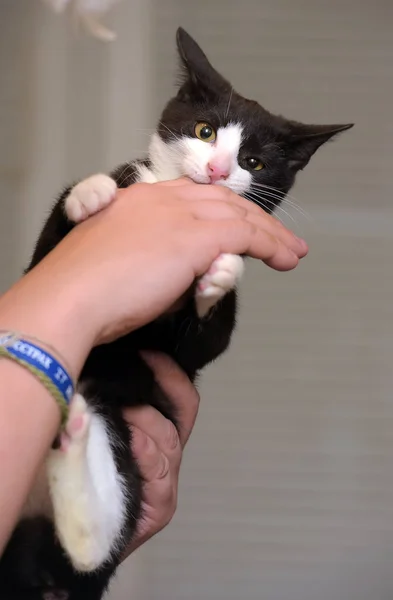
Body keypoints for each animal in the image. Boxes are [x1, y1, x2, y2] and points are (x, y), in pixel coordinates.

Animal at [0, 28, 350, 600]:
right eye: (205, 131)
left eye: (253, 162)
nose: (217, 169)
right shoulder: (45, 255)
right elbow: (57, 235)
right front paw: (91, 193)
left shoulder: (188, 350)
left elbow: (206, 339)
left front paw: (219, 276)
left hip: (118, 426)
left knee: (93, 542)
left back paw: (74, 445)